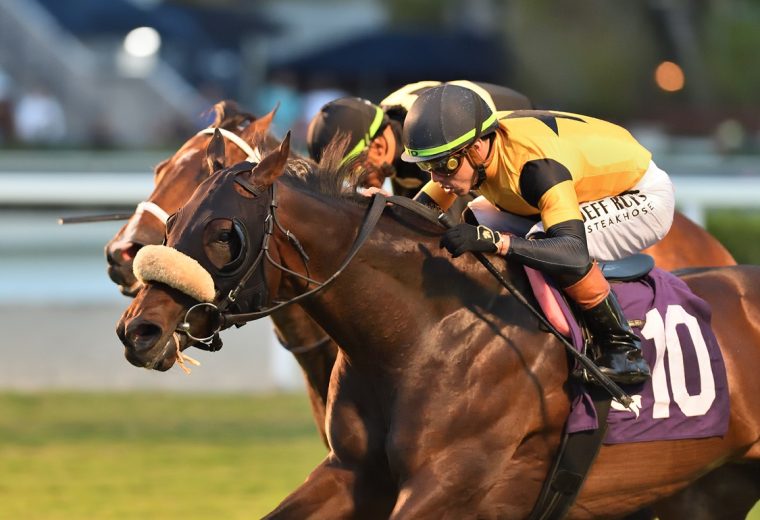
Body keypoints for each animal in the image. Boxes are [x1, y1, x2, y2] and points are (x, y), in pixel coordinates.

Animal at [116, 136, 756, 516]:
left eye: (224, 234)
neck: (421, 332)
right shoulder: (351, 472)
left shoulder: (450, 485)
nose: (138, 331)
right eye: (175, 220)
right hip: (708, 489)